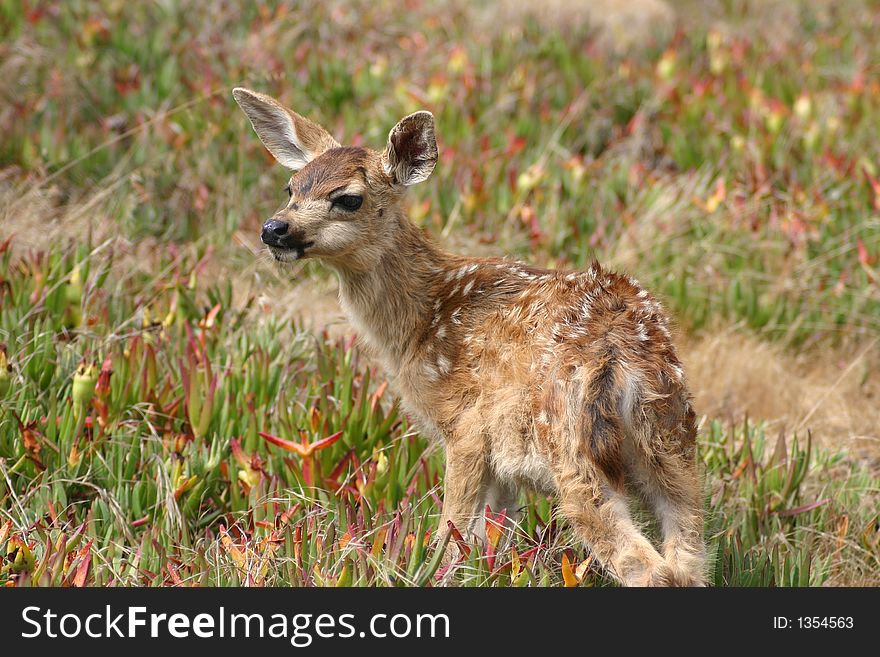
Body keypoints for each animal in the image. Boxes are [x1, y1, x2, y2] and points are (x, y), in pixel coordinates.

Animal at [234, 87, 708, 584]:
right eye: (291, 187)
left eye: (348, 199)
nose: (274, 229)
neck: (420, 321)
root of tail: (620, 354)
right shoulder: (503, 459)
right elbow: (490, 537)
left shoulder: (465, 427)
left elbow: (454, 531)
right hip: (672, 446)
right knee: (688, 558)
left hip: (573, 448)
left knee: (645, 566)